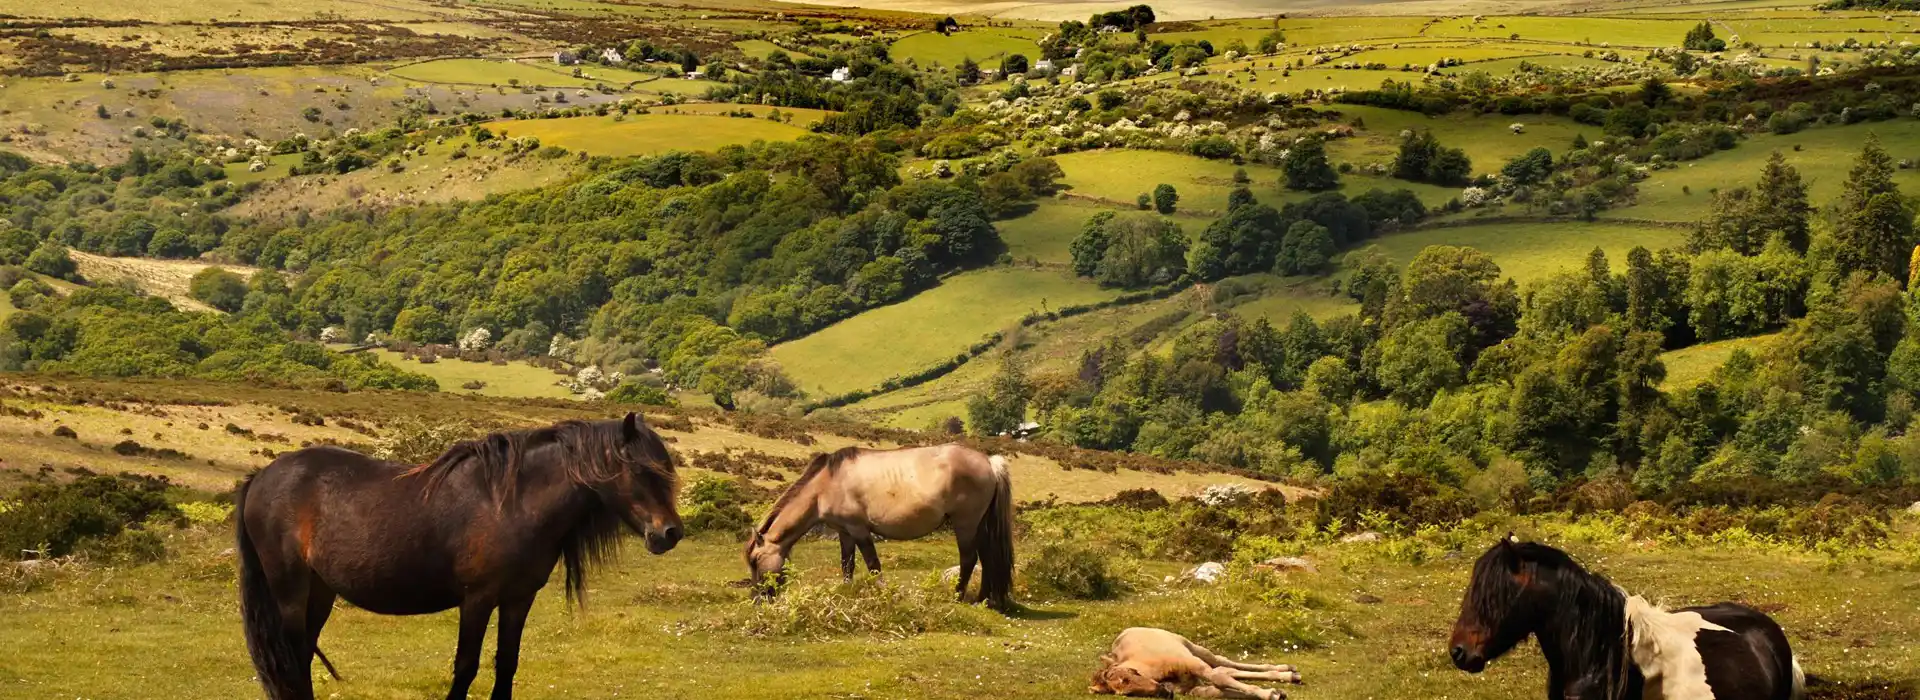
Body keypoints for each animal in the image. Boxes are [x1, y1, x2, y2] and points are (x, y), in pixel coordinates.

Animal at [235, 412, 683, 698]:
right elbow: (466, 666)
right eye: (642, 471)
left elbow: (507, 663)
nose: (670, 533)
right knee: (293, 658)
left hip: (321, 591)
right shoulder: (478, 599)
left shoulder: (519, 599)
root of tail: (262, 476)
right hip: (290, 591)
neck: (512, 505)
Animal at [744, 444, 1021, 609]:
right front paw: (847, 593)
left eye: (756, 561)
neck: (826, 484)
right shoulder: (845, 532)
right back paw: (983, 599)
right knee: (986, 557)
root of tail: (989, 462)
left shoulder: (859, 530)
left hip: (965, 523)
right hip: (980, 525)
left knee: (969, 558)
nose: (757, 599)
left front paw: (886, 595)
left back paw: (958, 596)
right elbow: (847, 565)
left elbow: (872, 564)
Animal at [1098, 625, 1305, 694]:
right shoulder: (1193, 686)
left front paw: (1270, 694)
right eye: (1125, 693)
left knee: (1224, 663)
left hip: (1197, 650)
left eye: (1129, 676)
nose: (1160, 690)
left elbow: (1219, 677)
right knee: (1227, 669)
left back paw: (1285, 670)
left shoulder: (1195, 664)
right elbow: (1218, 687)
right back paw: (1288, 674)